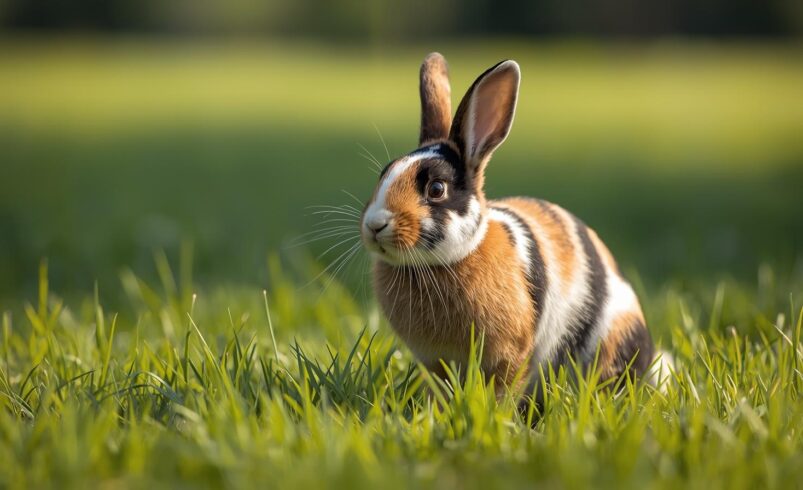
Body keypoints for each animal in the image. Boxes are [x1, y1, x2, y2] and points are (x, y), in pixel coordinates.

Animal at [360, 52, 665, 398]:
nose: (374, 225)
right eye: (384, 173)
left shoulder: (510, 354)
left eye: (436, 189)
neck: (447, 261)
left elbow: (503, 387)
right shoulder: (435, 362)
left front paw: (494, 408)